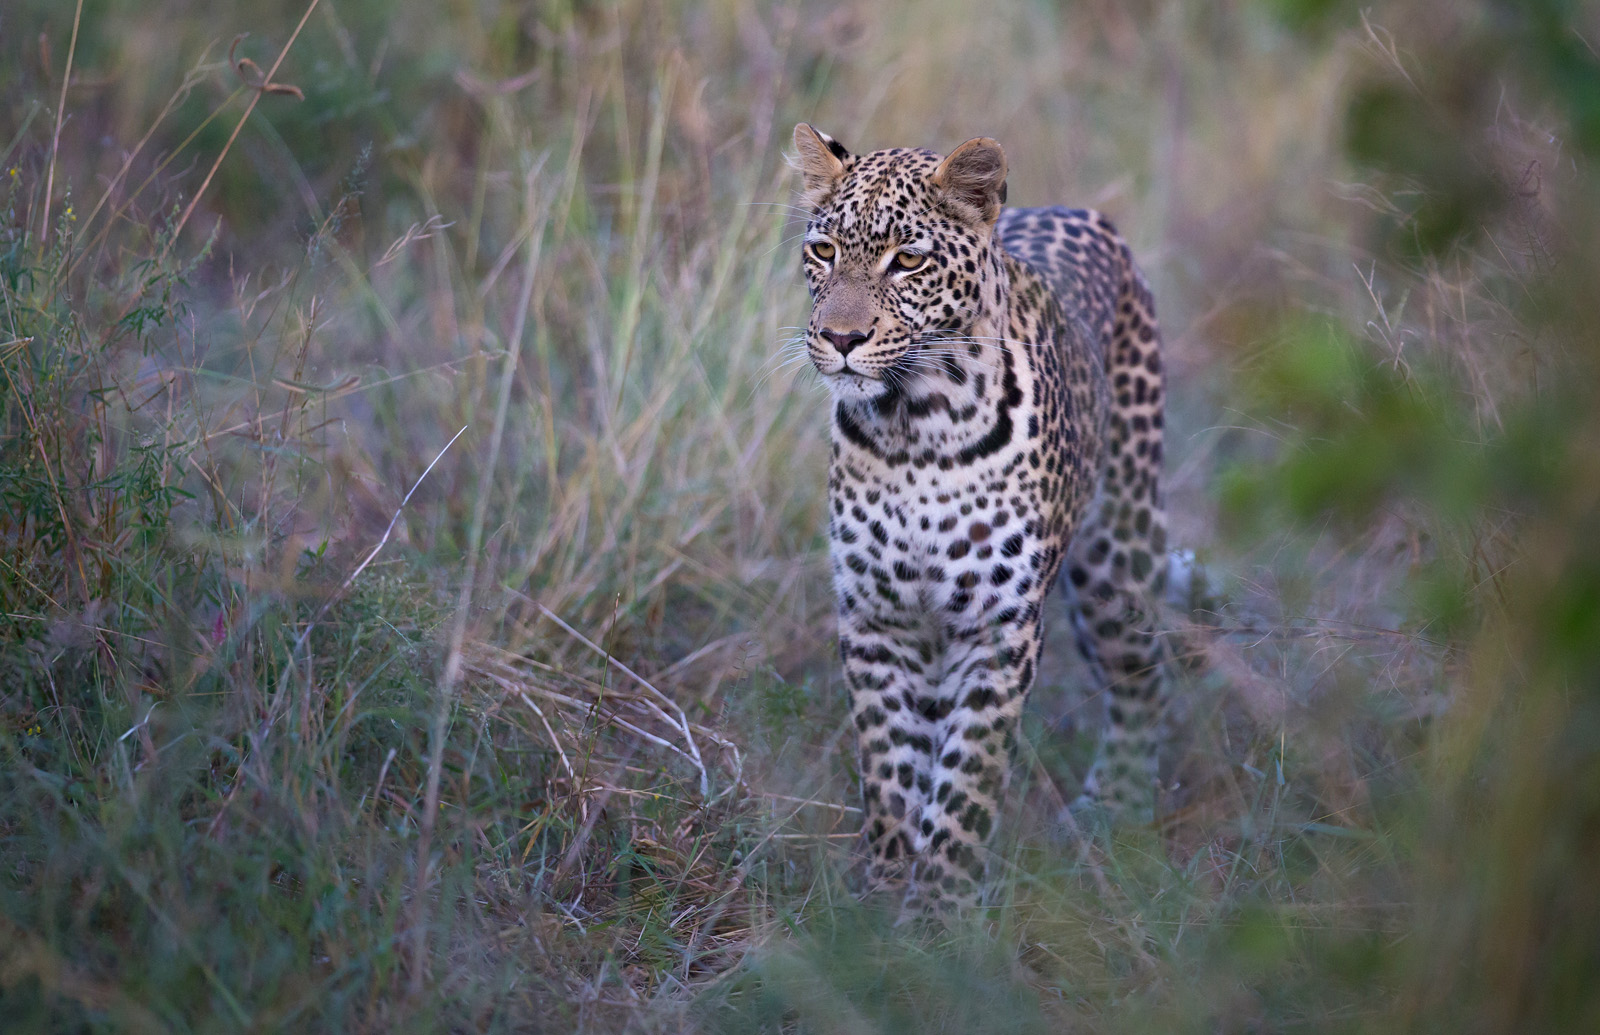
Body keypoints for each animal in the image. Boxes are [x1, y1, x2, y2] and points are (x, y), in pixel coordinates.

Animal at [789, 123, 1171, 910]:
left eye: (907, 260)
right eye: (824, 251)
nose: (840, 339)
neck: (916, 427)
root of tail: (1074, 209)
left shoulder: (998, 626)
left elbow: (967, 780)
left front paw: (941, 909)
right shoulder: (877, 618)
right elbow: (891, 771)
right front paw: (883, 899)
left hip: (1119, 554)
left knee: (1144, 672)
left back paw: (1116, 810)